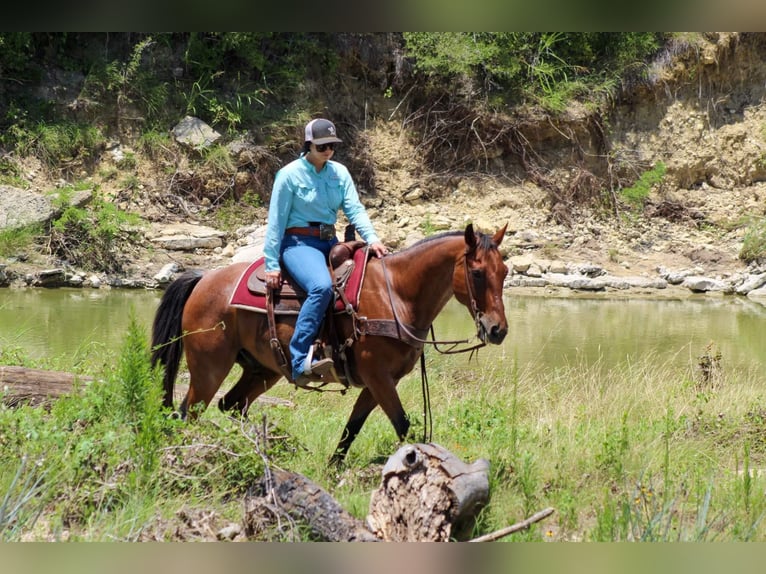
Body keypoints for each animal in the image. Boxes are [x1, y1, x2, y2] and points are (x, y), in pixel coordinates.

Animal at [150, 223, 509, 465]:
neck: (397, 294)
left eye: (504, 271)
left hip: (263, 370)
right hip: (209, 368)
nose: (497, 330)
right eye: (477, 273)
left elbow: (353, 428)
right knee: (189, 412)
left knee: (232, 405)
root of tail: (204, 279)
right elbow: (403, 426)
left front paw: (333, 469)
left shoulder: (379, 382)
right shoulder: (378, 377)